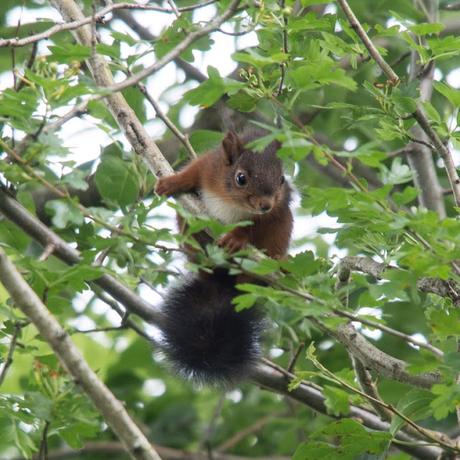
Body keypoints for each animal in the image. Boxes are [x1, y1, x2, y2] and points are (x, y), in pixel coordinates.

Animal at [154, 130, 292, 384]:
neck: (231, 200)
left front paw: (236, 238)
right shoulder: (209, 165)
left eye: (282, 179)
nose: (266, 205)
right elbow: (192, 172)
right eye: (241, 178)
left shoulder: (271, 215)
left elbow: (253, 227)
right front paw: (171, 182)